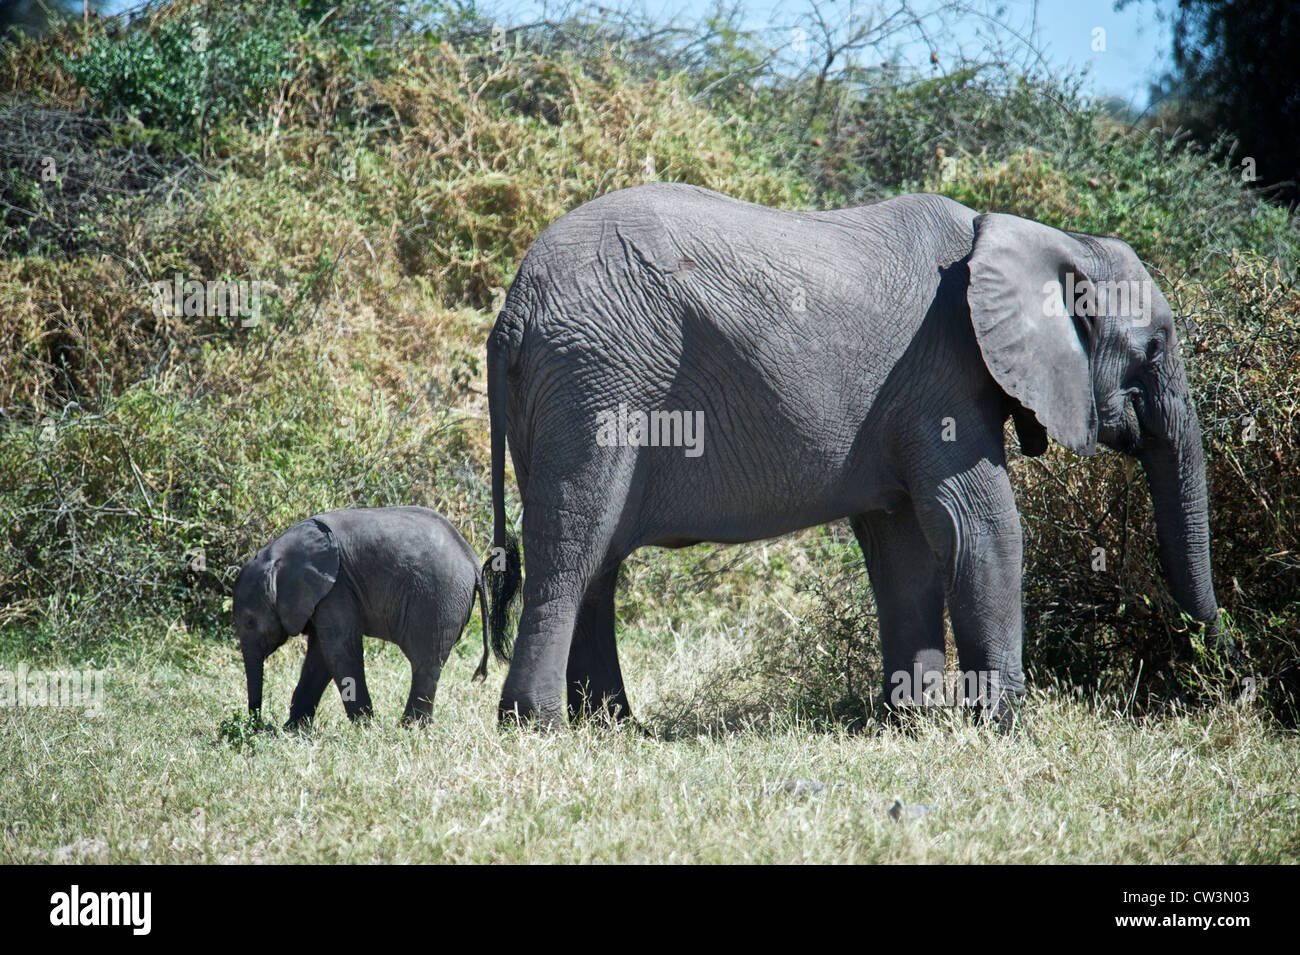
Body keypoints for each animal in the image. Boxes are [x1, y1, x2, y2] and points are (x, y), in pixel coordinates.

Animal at [234, 506, 488, 728]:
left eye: (250, 622)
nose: (259, 726)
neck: (279, 554)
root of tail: (472, 559)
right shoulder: (325, 594)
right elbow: (321, 655)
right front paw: (293, 729)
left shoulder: (337, 587)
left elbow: (339, 649)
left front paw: (366, 727)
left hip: (438, 600)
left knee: (425, 663)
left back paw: (409, 728)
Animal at [482, 182, 1223, 729]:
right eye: (1155, 347)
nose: (1220, 674)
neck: (1049, 239)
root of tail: (513, 309)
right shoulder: (944, 376)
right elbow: (981, 528)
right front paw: (1008, 728)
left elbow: (904, 550)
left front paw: (914, 724)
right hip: (597, 380)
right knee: (573, 541)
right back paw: (538, 726)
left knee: (596, 556)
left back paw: (610, 726)